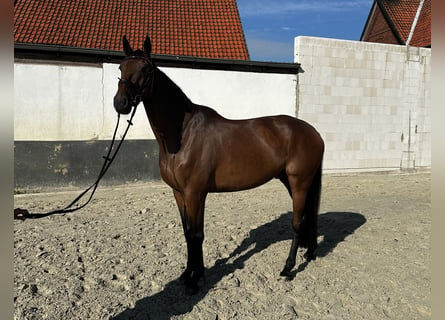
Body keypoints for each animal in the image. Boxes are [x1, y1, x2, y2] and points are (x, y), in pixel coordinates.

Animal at [114, 35, 322, 292]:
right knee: (308, 215)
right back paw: (309, 252)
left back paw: (288, 268)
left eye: (145, 69)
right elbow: (187, 233)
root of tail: (313, 132)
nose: (120, 103)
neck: (183, 134)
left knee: (297, 221)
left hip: (299, 182)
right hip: (292, 181)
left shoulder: (195, 193)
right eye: (121, 67)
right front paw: (188, 274)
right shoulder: (179, 193)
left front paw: (196, 280)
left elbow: (196, 235)